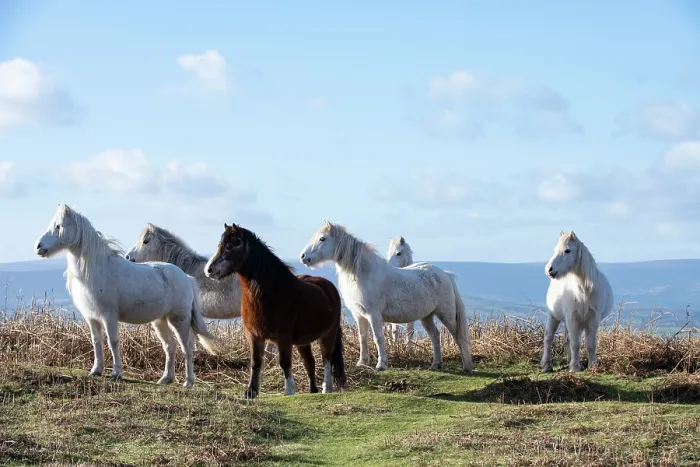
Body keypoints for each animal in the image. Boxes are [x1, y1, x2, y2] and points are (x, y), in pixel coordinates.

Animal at [34, 204, 221, 388]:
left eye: (59, 226)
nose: (38, 247)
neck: (99, 269)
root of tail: (187, 278)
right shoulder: (92, 318)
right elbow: (96, 341)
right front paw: (96, 370)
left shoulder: (108, 316)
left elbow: (113, 342)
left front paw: (116, 373)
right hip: (161, 321)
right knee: (170, 347)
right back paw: (166, 378)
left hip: (179, 320)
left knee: (187, 348)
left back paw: (188, 382)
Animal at [204, 223, 347, 399]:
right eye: (220, 245)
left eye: (230, 246)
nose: (209, 270)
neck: (270, 292)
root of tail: (328, 286)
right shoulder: (253, 335)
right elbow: (256, 362)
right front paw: (251, 391)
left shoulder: (283, 337)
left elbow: (284, 362)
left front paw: (289, 390)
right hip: (303, 341)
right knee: (310, 363)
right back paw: (312, 390)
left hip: (328, 333)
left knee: (327, 359)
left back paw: (327, 388)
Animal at [300, 221, 473, 373]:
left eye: (322, 238)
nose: (303, 256)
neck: (364, 273)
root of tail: (445, 274)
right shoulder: (359, 315)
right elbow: (363, 338)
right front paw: (362, 362)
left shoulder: (373, 315)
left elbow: (378, 338)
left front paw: (381, 365)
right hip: (427, 316)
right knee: (435, 336)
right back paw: (436, 364)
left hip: (446, 315)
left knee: (458, 336)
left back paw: (466, 366)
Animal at [542, 230, 614, 373]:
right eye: (555, 250)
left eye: (567, 250)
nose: (549, 269)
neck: (583, 291)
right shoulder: (572, 318)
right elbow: (575, 344)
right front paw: (574, 368)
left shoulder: (592, 319)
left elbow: (590, 344)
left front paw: (592, 366)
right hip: (554, 316)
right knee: (548, 338)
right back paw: (546, 365)